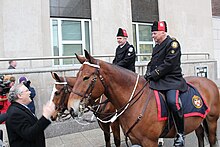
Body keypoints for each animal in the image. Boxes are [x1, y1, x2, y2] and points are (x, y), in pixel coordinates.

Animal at [67, 50, 220, 146]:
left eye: (86, 77)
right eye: (77, 76)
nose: (71, 108)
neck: (135, 101)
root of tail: (210, 82)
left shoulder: (149, 141)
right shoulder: (134, 139)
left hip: (211, 121)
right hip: (197, 122)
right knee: (200, 136)